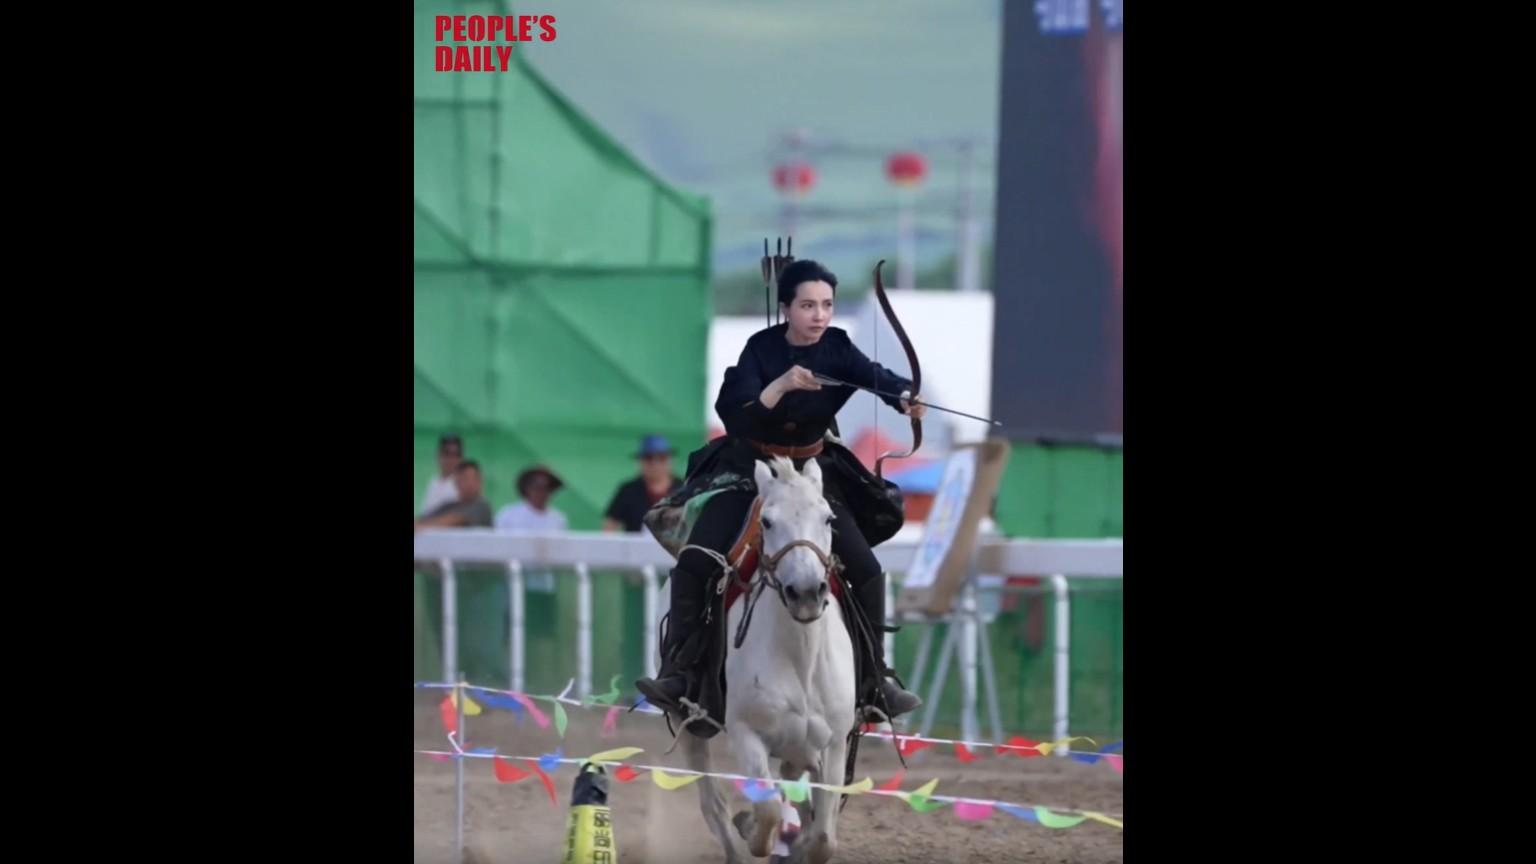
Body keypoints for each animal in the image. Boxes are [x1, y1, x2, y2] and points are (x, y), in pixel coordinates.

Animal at [681, 455, 860, 854]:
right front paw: (750, 827)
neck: (800, 659)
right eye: (767, 521)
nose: (806, 593)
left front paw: (804, 843)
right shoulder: (746, 733)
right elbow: (766, 813)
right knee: (713, 804)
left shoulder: (835, 743)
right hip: (691, 725)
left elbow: (824, 836)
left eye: (829, 518)